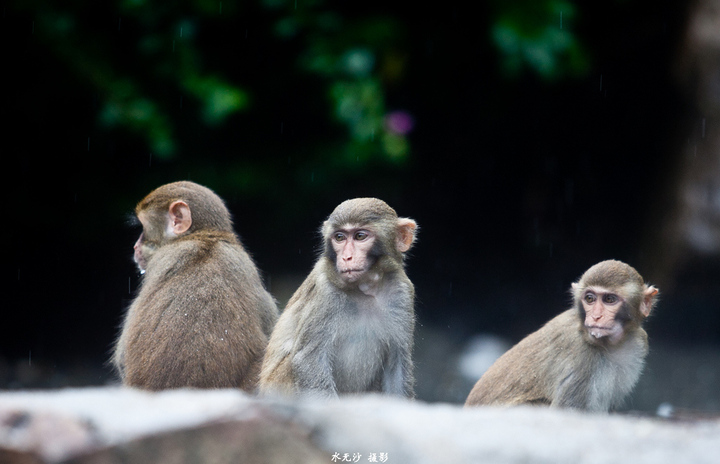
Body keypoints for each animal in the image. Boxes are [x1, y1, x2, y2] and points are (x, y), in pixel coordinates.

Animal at [258, 198, 420, 396]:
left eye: (360, 236)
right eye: (340, 237)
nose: (347, 257)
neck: (366, 289)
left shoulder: (402, 292)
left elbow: (398, 367)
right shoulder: (325, 292)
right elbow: (309, 360)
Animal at [466, 260, 660, 412]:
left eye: (609, 300)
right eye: (590, 299)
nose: (596, 316)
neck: (610, 346)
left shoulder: (639, 342)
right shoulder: (581, 356)